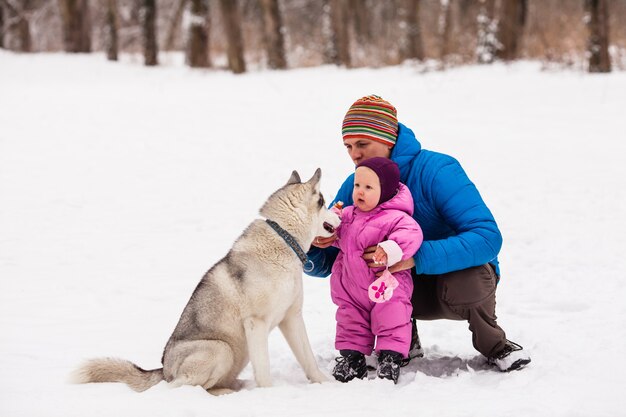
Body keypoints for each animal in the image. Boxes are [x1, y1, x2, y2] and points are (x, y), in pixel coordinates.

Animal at [73, 168, 342, 394]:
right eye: (324, 203)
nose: (340, 218)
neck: (284, 240)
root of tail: (164, 370)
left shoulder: (291, 318)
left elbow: (308, 358)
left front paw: (325, 383)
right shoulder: (256, 323)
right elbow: (264, 368)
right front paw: (268, 394)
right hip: (220, 349)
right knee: (179, 388)